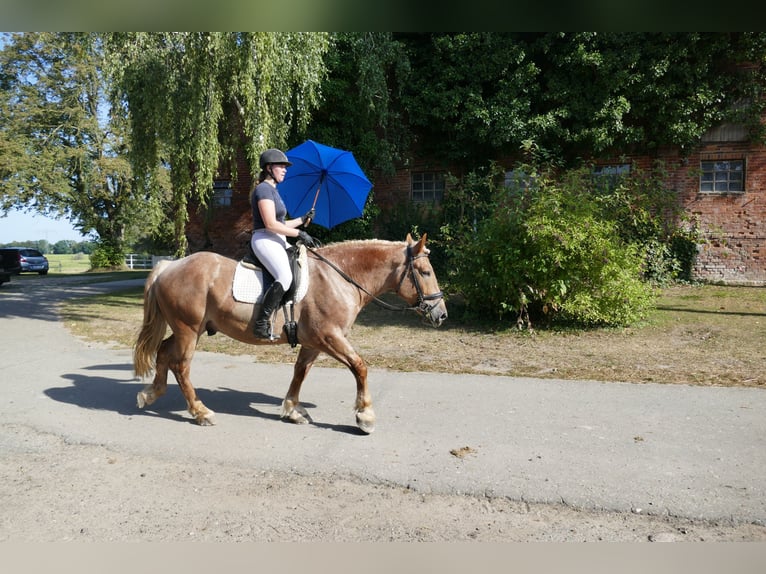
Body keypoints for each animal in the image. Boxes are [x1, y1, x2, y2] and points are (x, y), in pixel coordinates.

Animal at [134, 232, 450, 434]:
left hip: (189, 330)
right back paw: (200, 412)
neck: (339, 277)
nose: (441, 314)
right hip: (188, 330)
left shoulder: (314, 342)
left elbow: (300, 372)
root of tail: (169, 266)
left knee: (164, 353)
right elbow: (359, 367)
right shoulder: (330, 337)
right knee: (181, 366)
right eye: (424, 272)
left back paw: (151, 394)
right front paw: (365, 416)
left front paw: (293, 409)